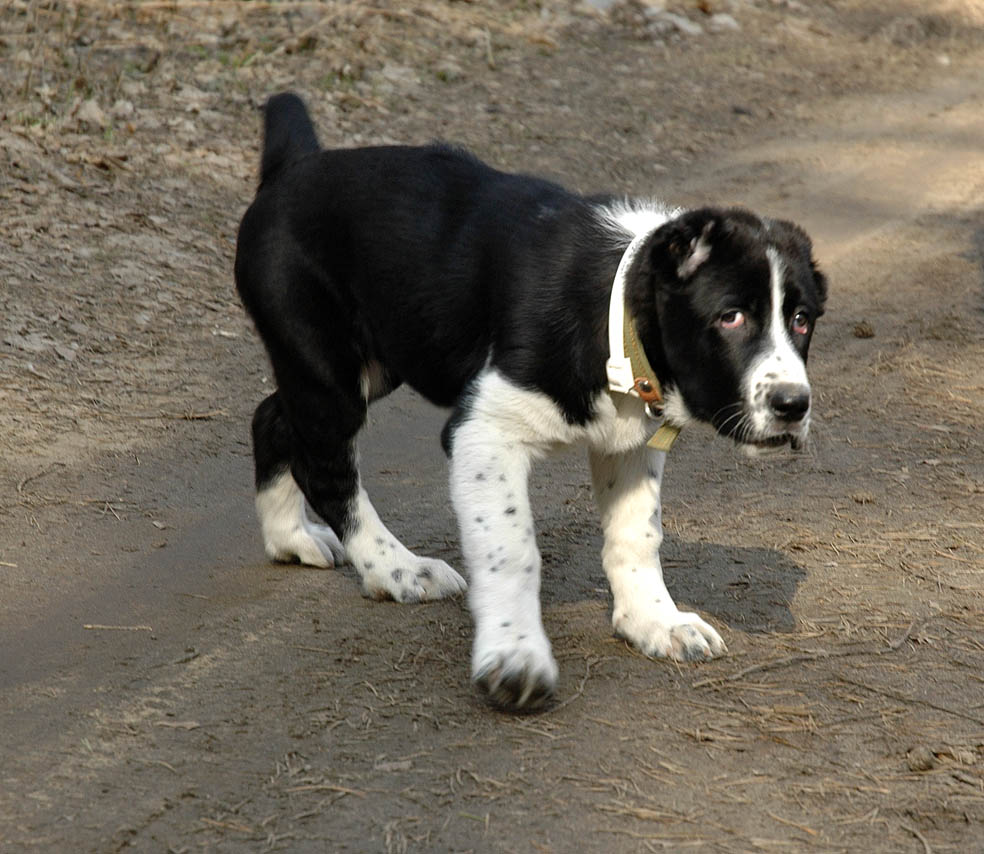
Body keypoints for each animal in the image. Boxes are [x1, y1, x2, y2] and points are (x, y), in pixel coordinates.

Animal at [234, 93, 828, 712]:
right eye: (730, 317)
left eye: (802, 320)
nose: (793, 405)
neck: (615, 313)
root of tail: (291, 168)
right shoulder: (484, 433)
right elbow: (512, 550)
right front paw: (514, 656)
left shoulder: (629, 445)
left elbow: (637, 534)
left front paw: (654, 622)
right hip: (328, 363)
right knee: (323, 465)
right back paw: (397, 569)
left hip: (377, 358)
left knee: (273, 418)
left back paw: (291, 539)